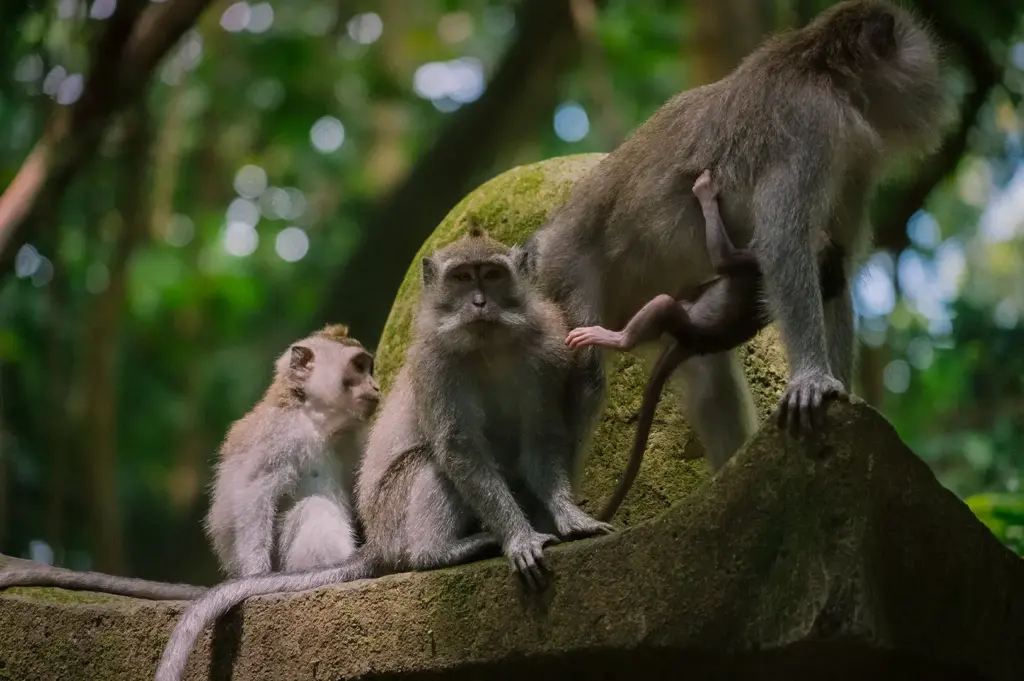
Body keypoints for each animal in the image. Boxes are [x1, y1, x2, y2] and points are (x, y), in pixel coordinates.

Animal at [0, 324, 379, 601]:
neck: (318, 421)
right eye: (358, 367)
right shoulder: (279, 437)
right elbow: (251, 495)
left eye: (368, 367)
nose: (375, 385)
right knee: (312, 508)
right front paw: (257, 576)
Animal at [154, 228, 612, 681]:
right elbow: (457, 448)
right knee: (429, 463)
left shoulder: (548, 349)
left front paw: (571, 517)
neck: (489, 345)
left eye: (493, 275)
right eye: (463, 278)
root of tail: (376, 542)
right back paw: (438, 552)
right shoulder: (434, 362)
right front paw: (518, 537)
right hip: (394, 519)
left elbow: (541, 439)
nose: (479, 303)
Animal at [526, 0, 948, 474]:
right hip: (565, 270)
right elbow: (784, 244)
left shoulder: (854, 162)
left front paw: (840, 391)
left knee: (709, 376)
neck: (826, 76)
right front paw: (812, 379)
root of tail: (542, 242)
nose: (935, 75)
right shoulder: (810, 125)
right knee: (586, 375)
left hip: (659, 309)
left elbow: (836, 267)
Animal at [563, 170, 847, 521]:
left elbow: (723, 259)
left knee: (659, 308)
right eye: (829, 244)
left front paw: (705, 192)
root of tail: (693, 345)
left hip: (677, 319)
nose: (823, 231)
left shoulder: (754, 261)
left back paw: (611, 337)